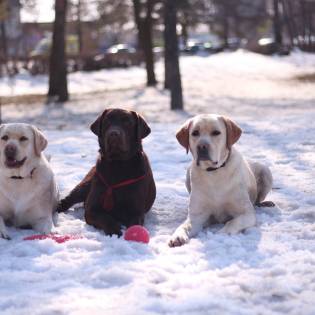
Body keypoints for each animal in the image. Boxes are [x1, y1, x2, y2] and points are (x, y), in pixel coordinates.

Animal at [169, 115, 276, 248]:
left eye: (216, 132)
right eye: (195, 133)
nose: (202, 146)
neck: (214, 173)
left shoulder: (246, 213)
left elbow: (232, 223)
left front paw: (221, 234)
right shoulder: (196, 217)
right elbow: (184, 226)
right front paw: (177, 236)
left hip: (266, 171)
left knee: (257, 201)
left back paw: (266, 203)